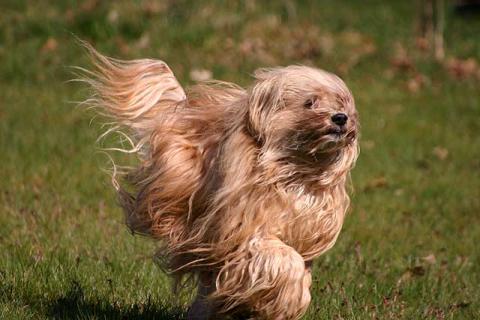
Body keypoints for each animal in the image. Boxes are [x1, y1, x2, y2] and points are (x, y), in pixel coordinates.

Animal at [82, 44, 358, 320]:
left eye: (341, 102)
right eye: (309, 102)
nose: (340, 117)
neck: (295, 170)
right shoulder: (243, 230)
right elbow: (282, 259)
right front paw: (282, 299)